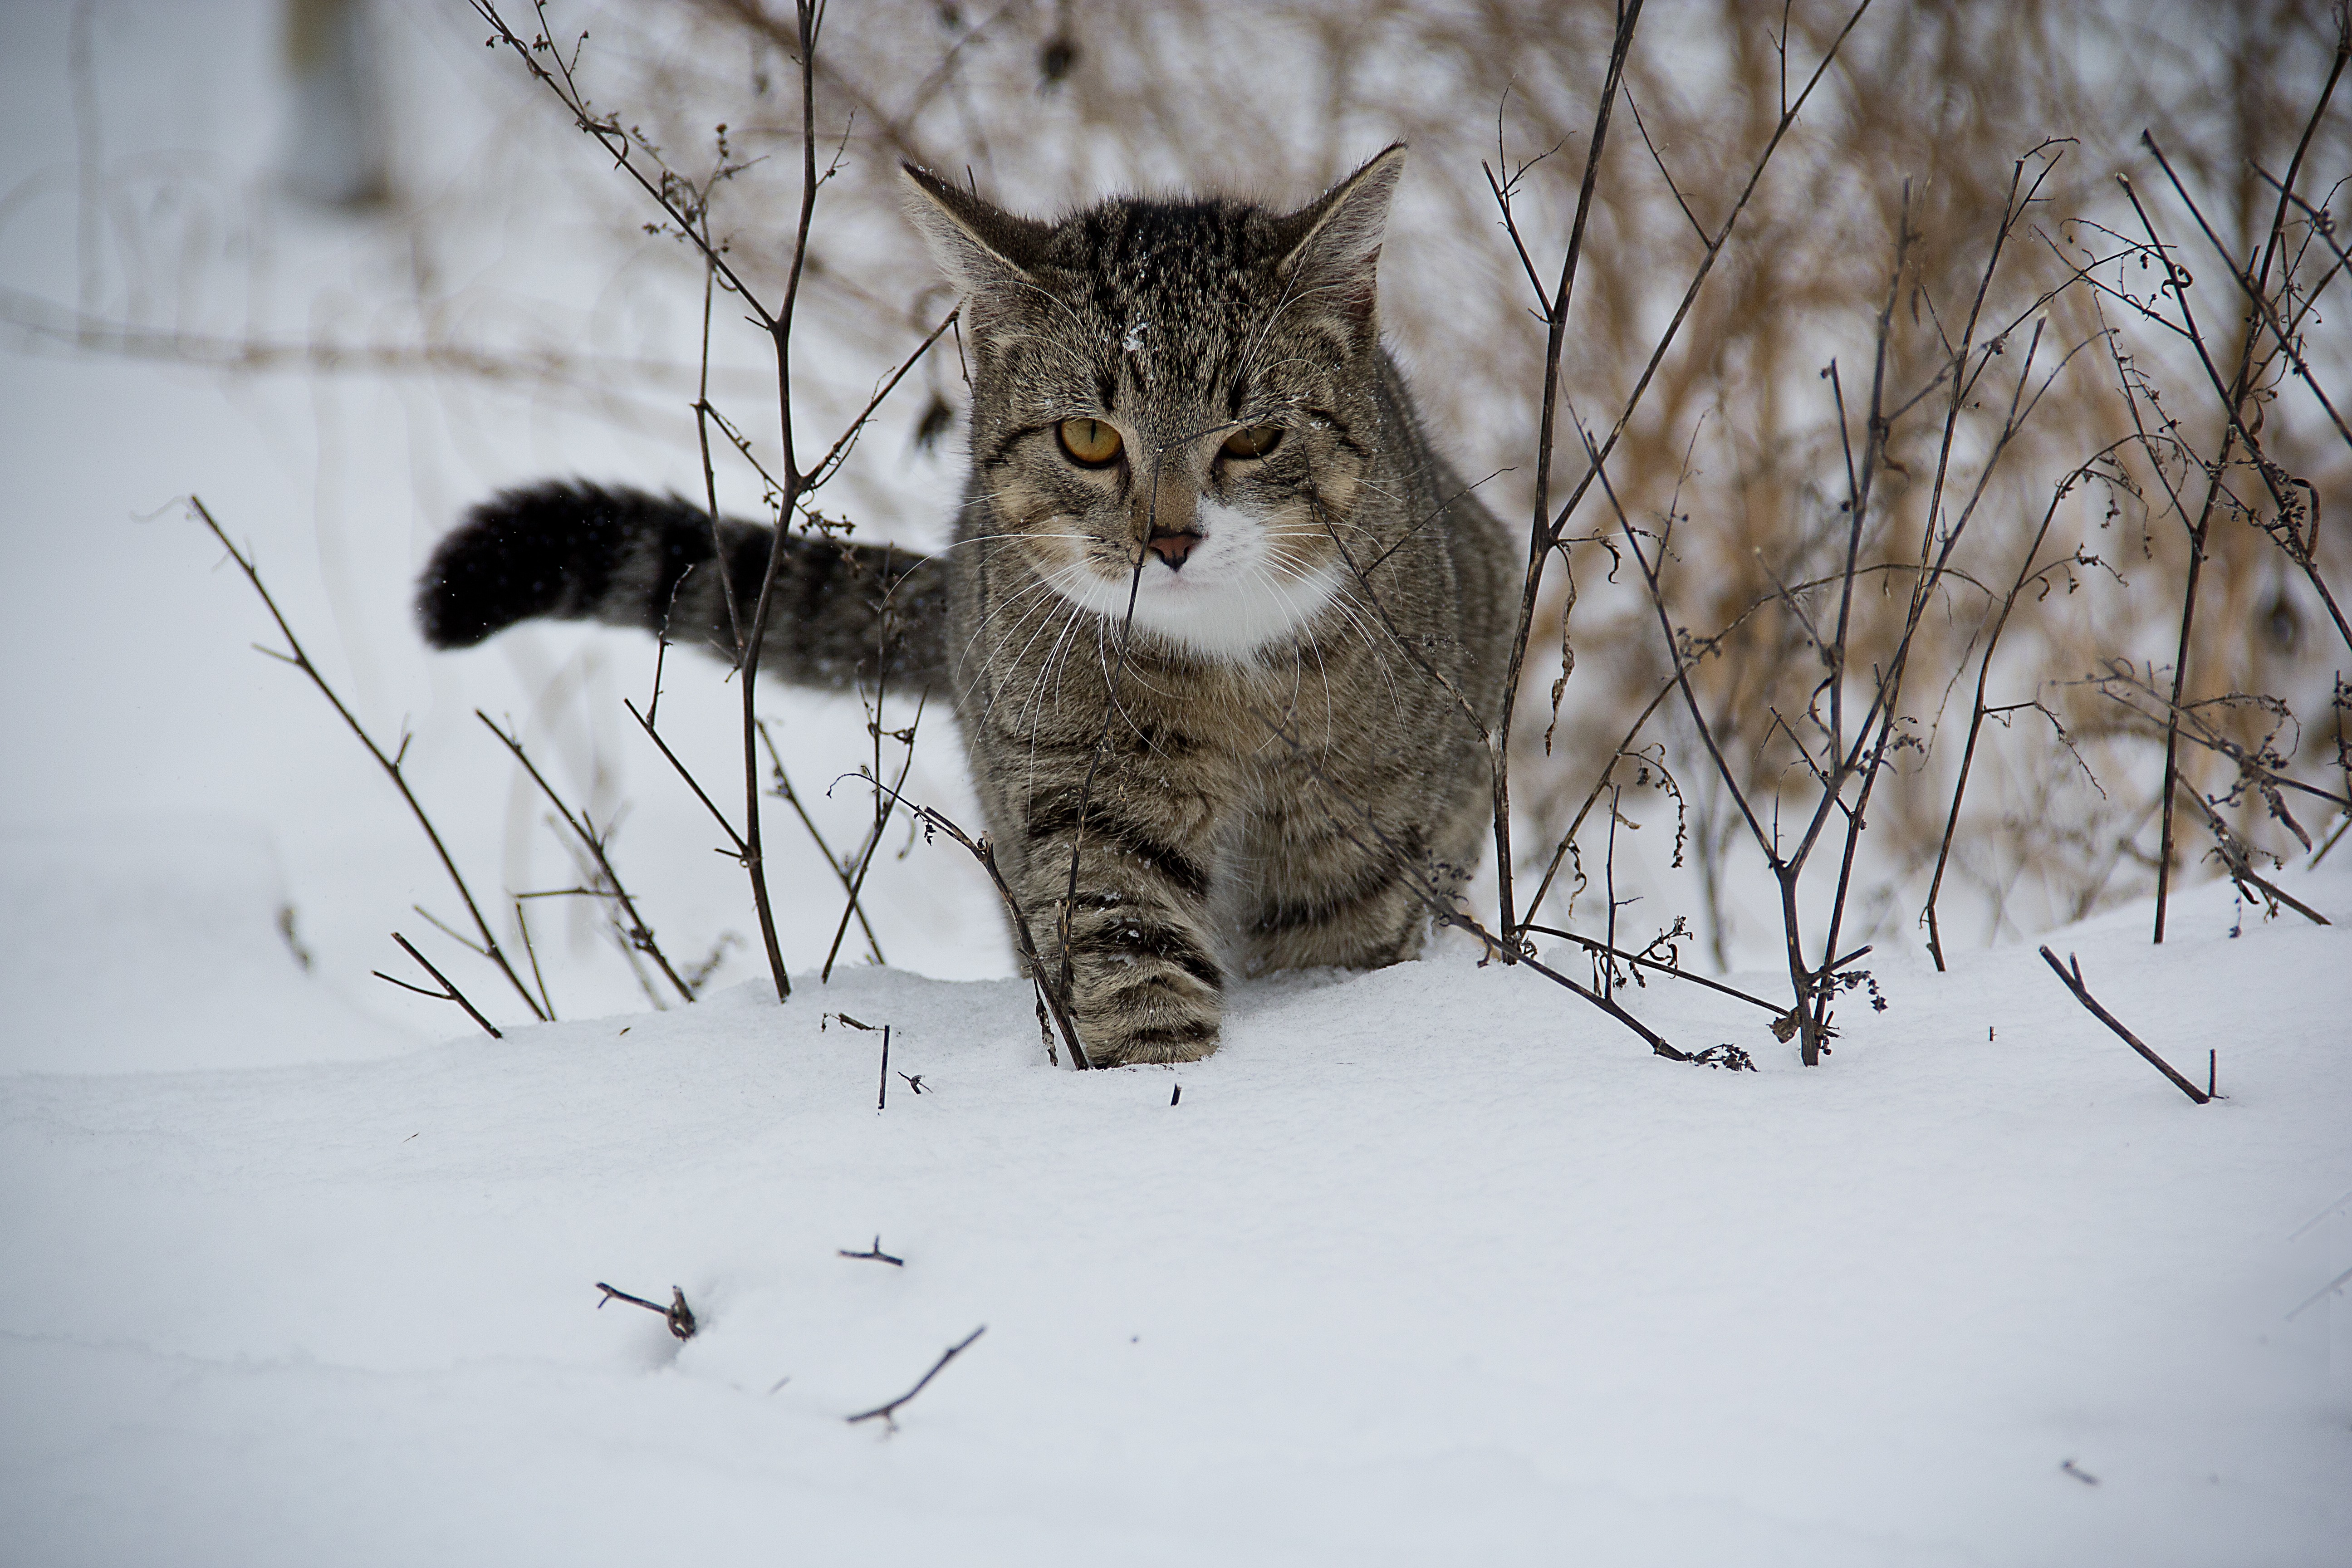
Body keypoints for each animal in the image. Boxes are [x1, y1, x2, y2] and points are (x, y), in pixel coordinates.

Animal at [418, 144, 1524, 1067]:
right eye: (1088, 437)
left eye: (1253, 437)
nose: (1169, 540)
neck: (1224, 669)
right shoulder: (1080, 786)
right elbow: (1126, 949)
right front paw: (1158, 1088)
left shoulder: (1359, 823)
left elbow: (1337, 943)